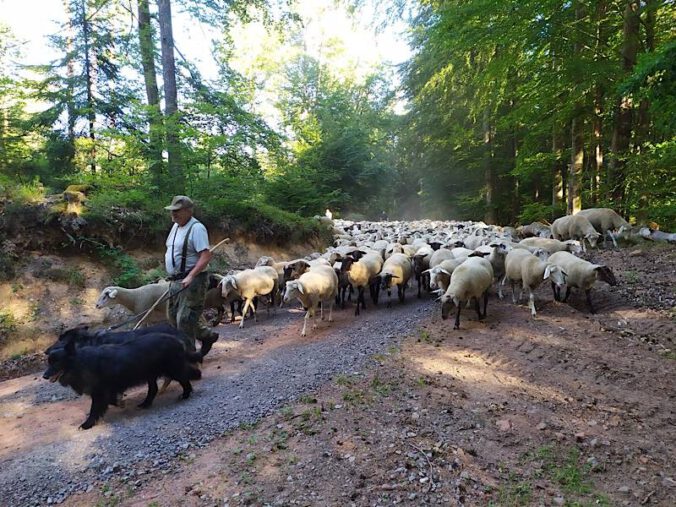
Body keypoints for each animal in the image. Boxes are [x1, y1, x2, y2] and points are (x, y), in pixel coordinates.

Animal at [44, 334, 202, 428]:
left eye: (56, 363)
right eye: (48, 362)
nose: (44, 376)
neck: (80, 362)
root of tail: (175, 340)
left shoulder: (99, 392)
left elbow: (95, 408)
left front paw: (87, 424)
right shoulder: (107, 390)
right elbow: (110, 400)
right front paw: (120, 402)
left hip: (173, 369)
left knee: (188, 376)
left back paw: (186, 394)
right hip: (151, 374)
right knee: (154, 389)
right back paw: (145, 403)